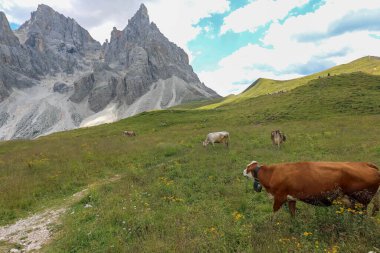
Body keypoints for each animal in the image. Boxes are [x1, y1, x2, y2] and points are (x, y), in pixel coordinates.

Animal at [243, 161, 380, 216]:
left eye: (248, 167)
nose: (243, 171)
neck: (272, 173)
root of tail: (367, 164)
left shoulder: (279, 198)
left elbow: (273, 215)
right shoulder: (291, 198)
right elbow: (292, 214)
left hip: (362, 202)